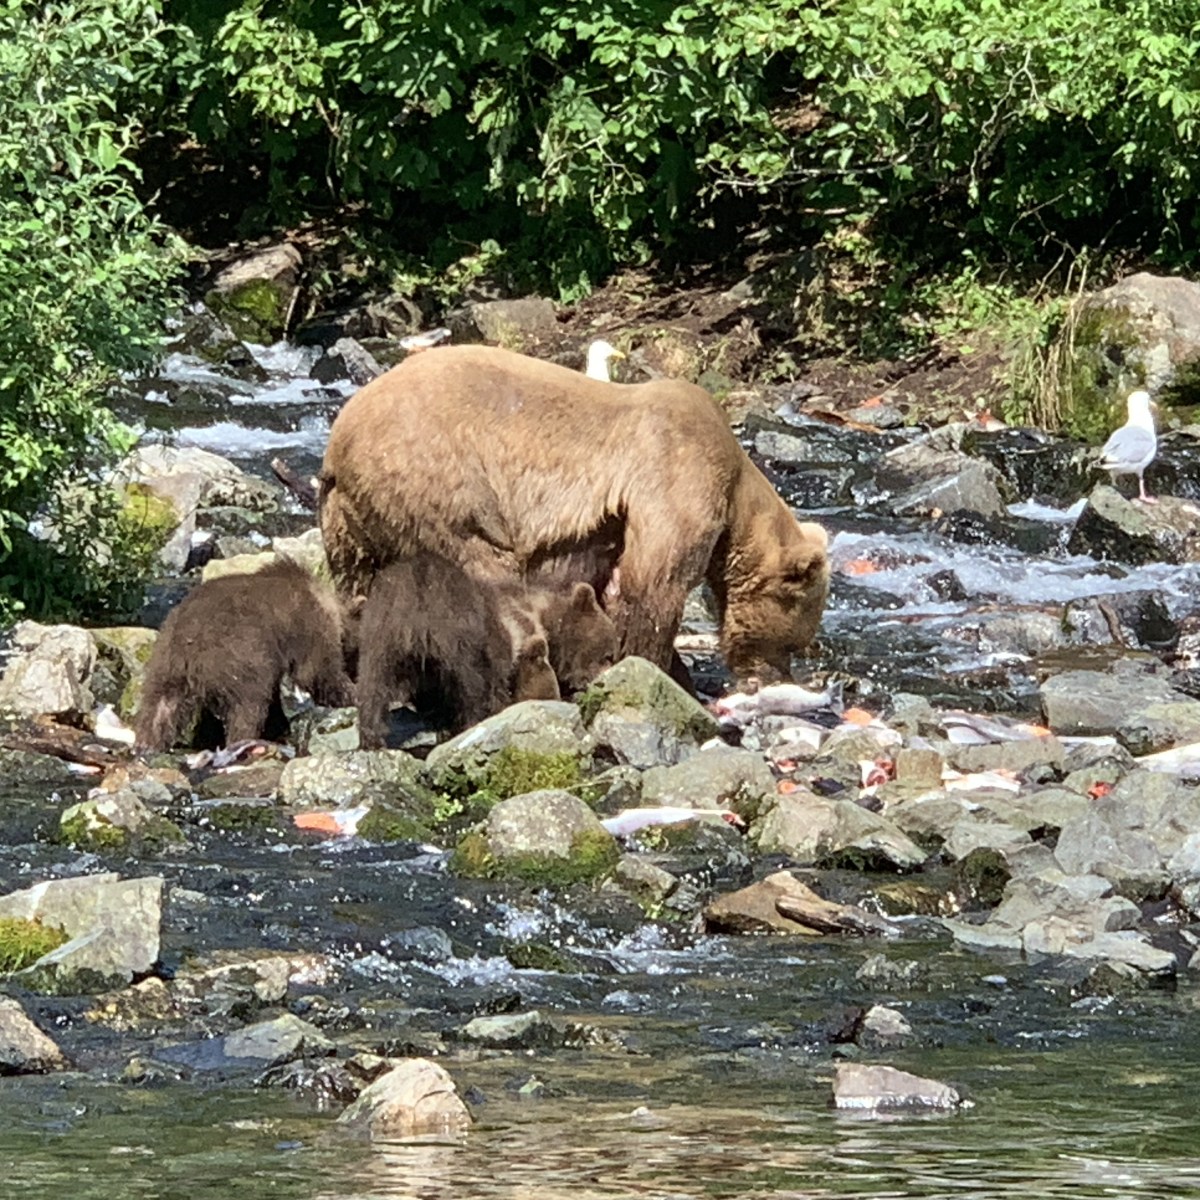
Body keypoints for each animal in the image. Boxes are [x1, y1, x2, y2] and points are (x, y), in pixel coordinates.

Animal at [135, 558, 355, 752]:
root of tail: (188, 642)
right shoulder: (309, 627)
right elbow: (316, 671)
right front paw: (348, 695)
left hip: (165, 660)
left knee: (159, 705)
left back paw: (147, 744)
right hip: (237, 655)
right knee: (249, 704)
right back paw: (245, 739)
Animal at [318, 344, 829, 681]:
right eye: (796, 642)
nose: (775, 677)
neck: (736, 491)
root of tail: (338, 439)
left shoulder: (605, 529)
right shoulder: (675, 472)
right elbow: (652, 585)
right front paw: (656, 665)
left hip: (351, 521)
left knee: (360, 585)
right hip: (440, 486)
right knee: (484, 564)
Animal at [355, 553, 617, 747]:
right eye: (607, 653)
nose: (600, 677)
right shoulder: (511, 639)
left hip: (379, 638)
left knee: (372, 686)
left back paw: (372, 737)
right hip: (460, 638)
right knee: (471, 685)